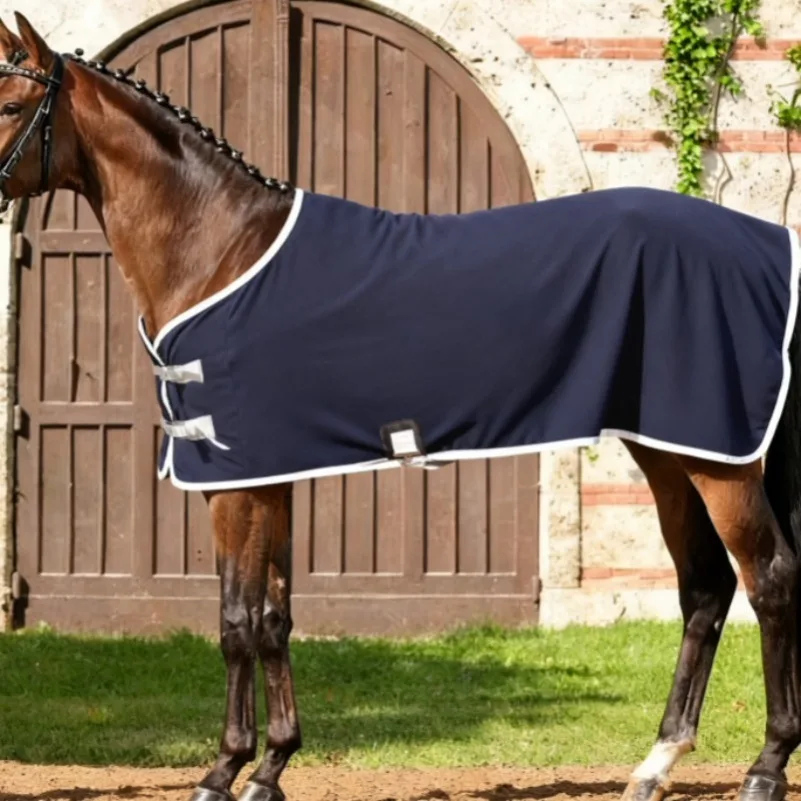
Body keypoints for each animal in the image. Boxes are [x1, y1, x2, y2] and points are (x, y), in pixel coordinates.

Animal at [1, 12, 800, 801]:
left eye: (10, 105)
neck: (220, 249)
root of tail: (766, 249)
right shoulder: (270, 477)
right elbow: (273, 616)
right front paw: (271, 766)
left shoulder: (233, 483)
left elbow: (234, 619)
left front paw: (223, 769)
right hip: (668, 450)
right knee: (704, 586)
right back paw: (656, 762)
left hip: (718, 459)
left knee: (768, 578)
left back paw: (764, 766)